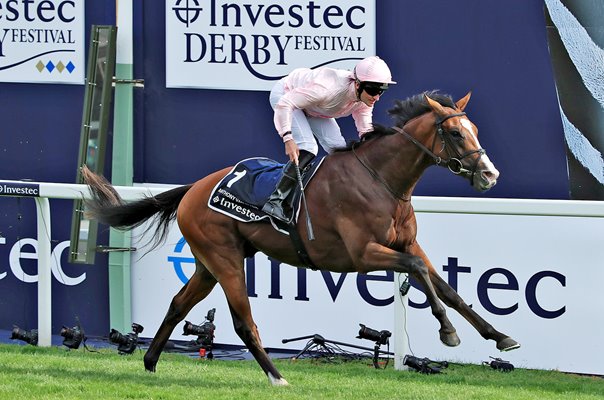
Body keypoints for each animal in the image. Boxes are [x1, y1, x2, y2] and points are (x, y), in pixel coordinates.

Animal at [82, 90, 520, 384]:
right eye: (456, 134)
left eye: (473, 129)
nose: (491, 174)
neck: (382, 181)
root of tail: (192, 189)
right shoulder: (363, 254)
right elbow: (420, 273)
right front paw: (448, 332)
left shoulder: (406, 244)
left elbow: (447, 287)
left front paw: (499, 336)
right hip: (225, 260)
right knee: (243, 322)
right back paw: (276, 376)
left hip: (207, 264)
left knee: (177, 305)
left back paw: (150, 362)